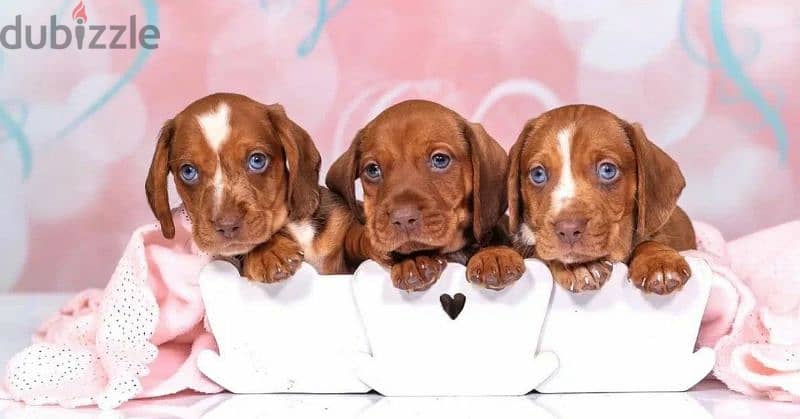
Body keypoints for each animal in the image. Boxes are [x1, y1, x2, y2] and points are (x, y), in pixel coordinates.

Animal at [472, 105, 696, 296]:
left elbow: (649, 240)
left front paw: (659, 260)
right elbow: (542, 252)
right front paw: (580, 267)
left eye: (608, 170)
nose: (569, 229)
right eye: (538, 174)